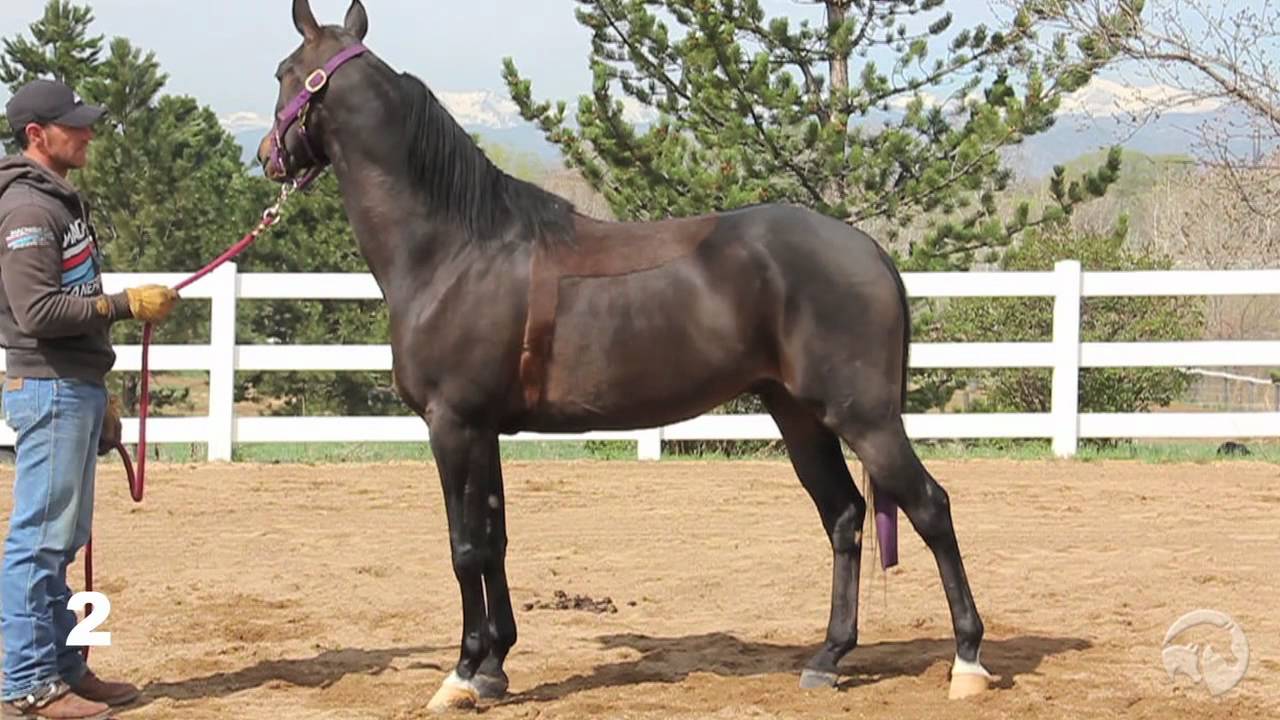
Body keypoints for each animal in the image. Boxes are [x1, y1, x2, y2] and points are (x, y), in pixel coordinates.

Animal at [257, 0, 989, 710]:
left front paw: (462, 674)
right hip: (799, 416)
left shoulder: (452, 424)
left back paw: (967, 661)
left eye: (284, 72)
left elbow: (464, 547)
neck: (456, 249)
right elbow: (494, 539)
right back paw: (828, 658)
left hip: (864, 418)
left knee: (931, 508)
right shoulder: (484, 429)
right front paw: (495, 667)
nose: (268, 156)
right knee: (843, 516)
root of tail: (870, 253)